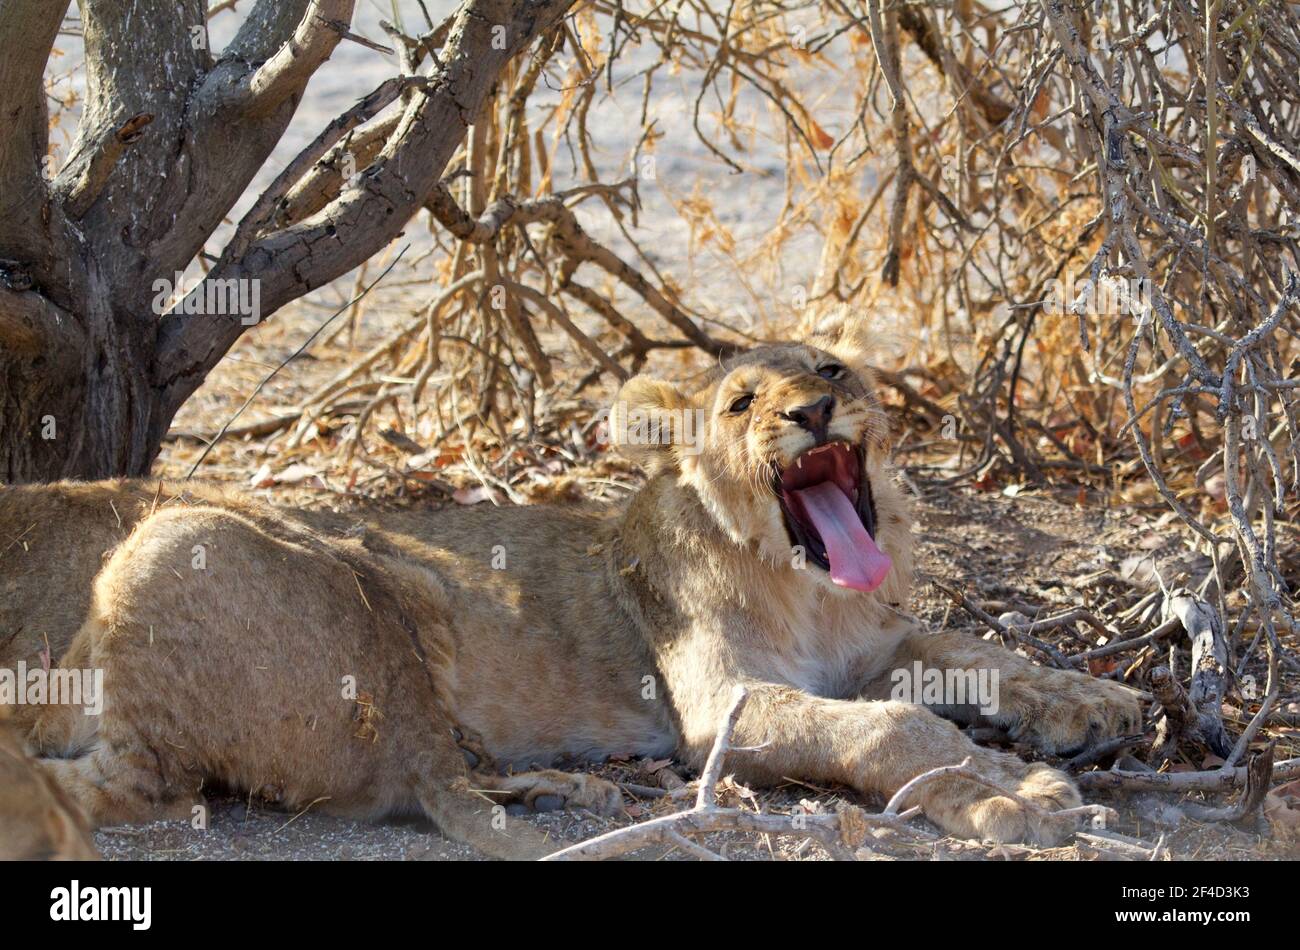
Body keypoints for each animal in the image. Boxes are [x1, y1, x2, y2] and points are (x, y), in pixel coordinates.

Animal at [1, 331, 1141, 858]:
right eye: (740, 402)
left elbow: (973, 652)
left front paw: (1093, 703)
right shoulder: (717, 707)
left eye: (829, 369)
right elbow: (893, 724)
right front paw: (1009, 791)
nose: (814, 411)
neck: (806, 585)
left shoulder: (871, 644)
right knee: (146, 785)